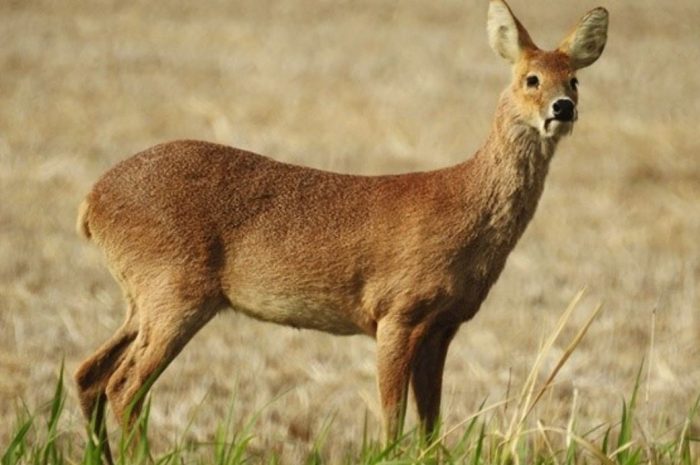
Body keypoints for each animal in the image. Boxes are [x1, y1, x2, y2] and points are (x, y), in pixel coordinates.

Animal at [74, 1, 608, 462]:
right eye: (530, 78)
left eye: (575, 79)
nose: (562, 108)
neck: (464, 205)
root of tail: (92, 201)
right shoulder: (396, 312)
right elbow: (393, 422)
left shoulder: (444, 325)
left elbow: (431, 425)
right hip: (174, 289)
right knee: (125, 386)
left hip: (142, 296)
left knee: (89, 373)